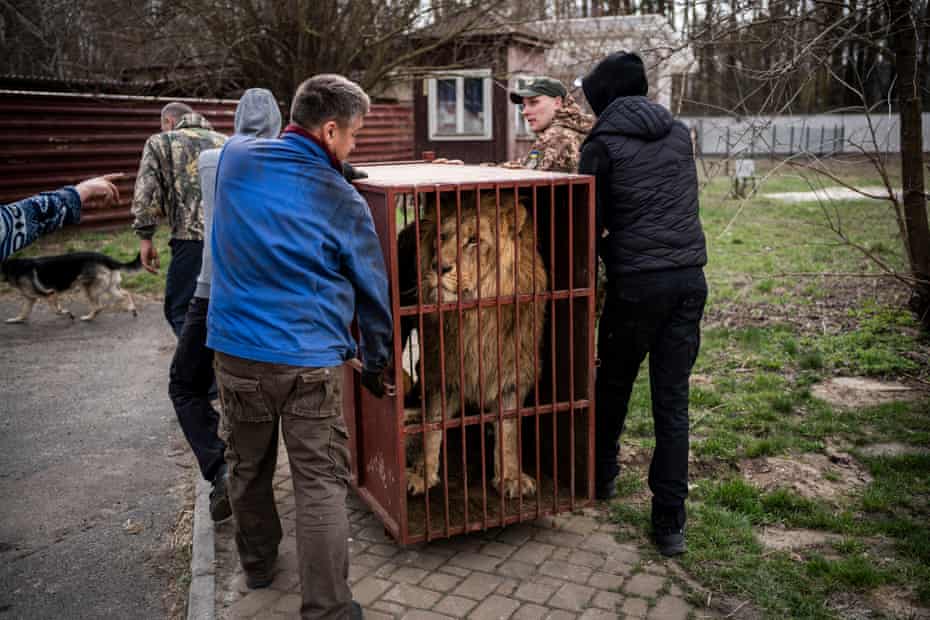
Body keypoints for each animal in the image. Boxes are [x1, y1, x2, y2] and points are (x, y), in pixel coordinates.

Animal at [0, 251, 140, 322]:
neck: (12, 267)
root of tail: (106, 258)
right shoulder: (30, 299)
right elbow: (24, 312)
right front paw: (15, 319)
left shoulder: (50, 294)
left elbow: (56, 310)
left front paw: (68, 313)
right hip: (109, 288)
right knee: (126, 294)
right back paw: (132, 309)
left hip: (89, 288)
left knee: (98, 306)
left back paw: (88, 318)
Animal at [396, 191, 544, 502]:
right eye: (441, 237)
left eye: (474, 241)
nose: (438, 267)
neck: (477, 317)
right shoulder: (442, 369)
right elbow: (433, 424)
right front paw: (422, 474)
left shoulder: (513, 371)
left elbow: (509, 429)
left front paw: (510, 476)